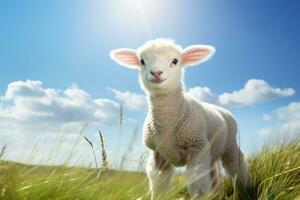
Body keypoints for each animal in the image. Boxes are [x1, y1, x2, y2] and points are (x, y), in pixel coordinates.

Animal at [109, 38, 248, 199]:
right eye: (142, 61)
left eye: (175, 61)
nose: (156, 72)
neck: (168, 127)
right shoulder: (159, 154)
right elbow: (160, 185)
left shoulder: (196, 147)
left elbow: (198, 185)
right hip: (211, 151)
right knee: (214, 175)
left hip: (229, 145)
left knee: (237, 165)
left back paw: (246, 186)